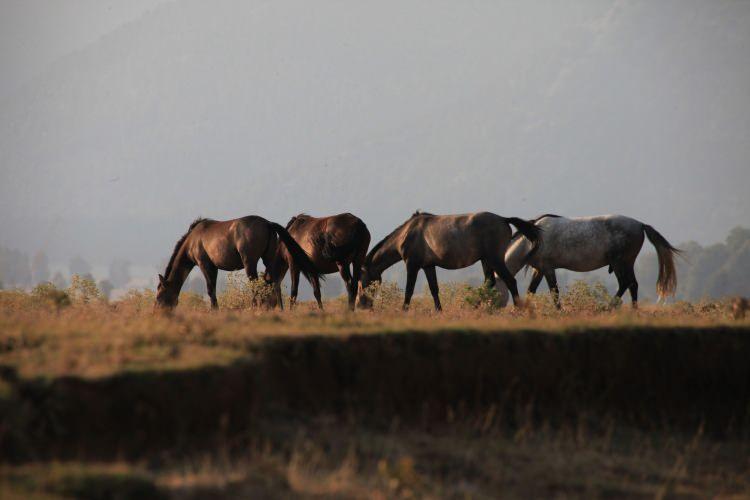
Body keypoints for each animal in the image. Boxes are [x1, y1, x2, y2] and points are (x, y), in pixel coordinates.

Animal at [156, 217, 324, 310]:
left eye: (158, 296)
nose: (155, 312)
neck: (193, 240)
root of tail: (268, 223)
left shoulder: (205, 265)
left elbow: (210, 290)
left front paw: (214, 310)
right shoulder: (214, 268)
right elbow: (213, 289)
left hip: (250, 262)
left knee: (255, 284)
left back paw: (253, 307)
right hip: (268, 258)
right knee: (274, 282)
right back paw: (280, 309)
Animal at [362, 210, 544, 310]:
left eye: (363, 280)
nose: (364, 305)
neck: (406, 233)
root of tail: (503, 219)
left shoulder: (412, 265)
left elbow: (409, 291)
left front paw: (403, 310)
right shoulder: (428, 266)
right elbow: (434, 289)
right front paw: (439, 311)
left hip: (495, 260)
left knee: (510, 281)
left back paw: (517, 310)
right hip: (486, 260)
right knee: (489, 282)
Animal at [502, 214, 684, 306]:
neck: (533, 239)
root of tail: (640, 224)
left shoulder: (548, 269)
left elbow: (554, 294)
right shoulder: (539, 270)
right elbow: (530, 291)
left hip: (619, 263)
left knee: (625, 283)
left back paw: (608, 308)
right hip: (627, 263)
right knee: (633, 285)